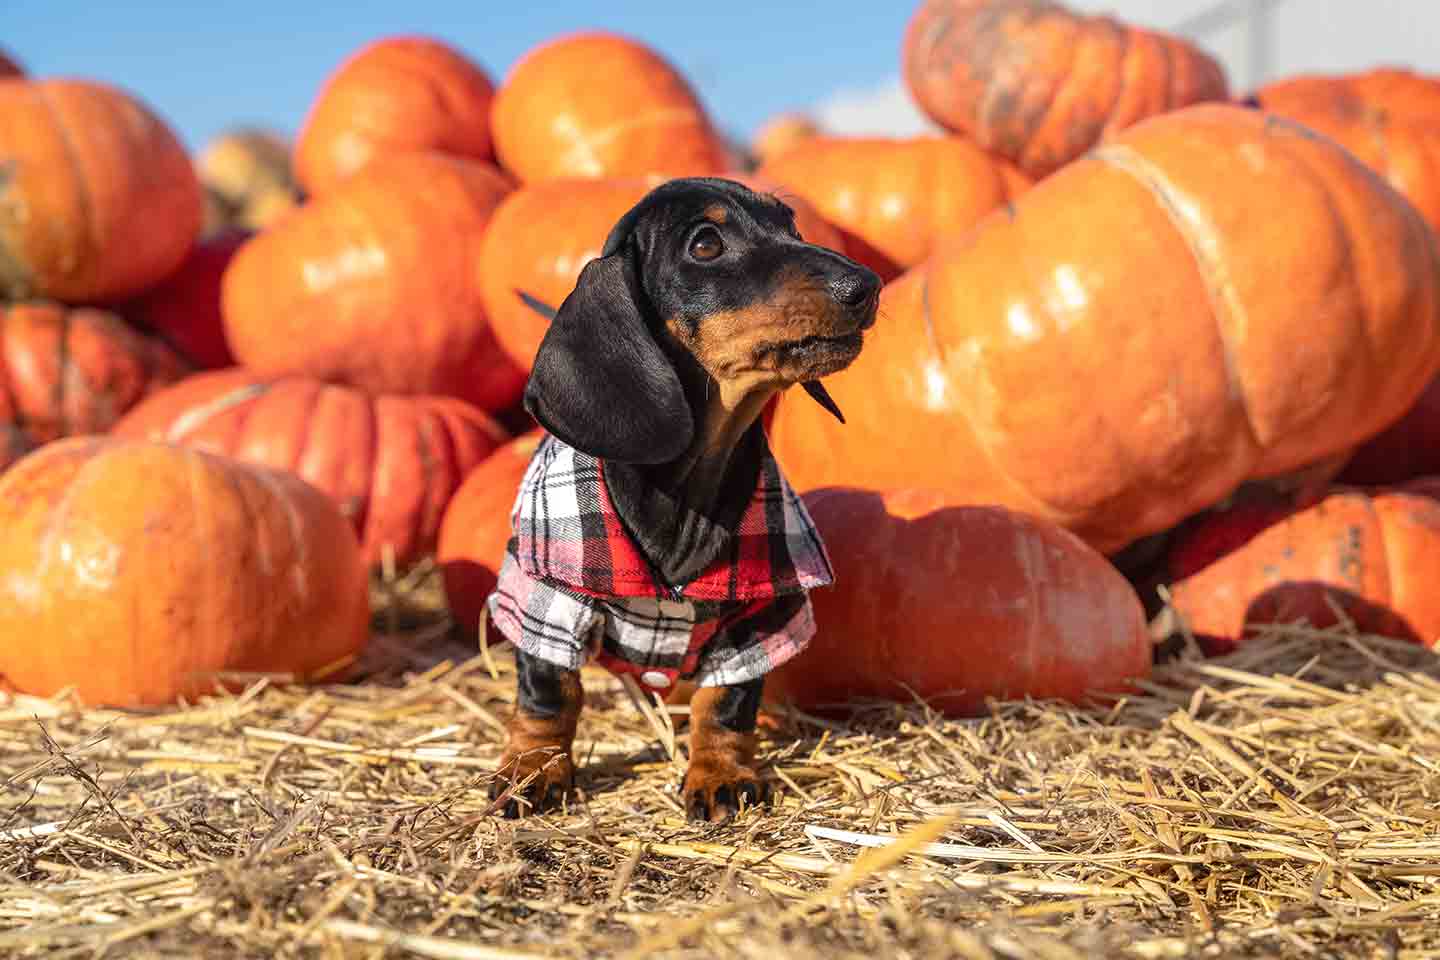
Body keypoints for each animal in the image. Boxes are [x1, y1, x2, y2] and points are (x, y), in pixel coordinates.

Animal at [489, 176, 881, 823]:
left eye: (792, 225)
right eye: (705, 244)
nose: (867, 286)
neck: (686, 487)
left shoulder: (760, 613)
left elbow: (724, 704)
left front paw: (719, 773)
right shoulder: (547, 593)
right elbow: (548, 693)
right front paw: (532, 769)